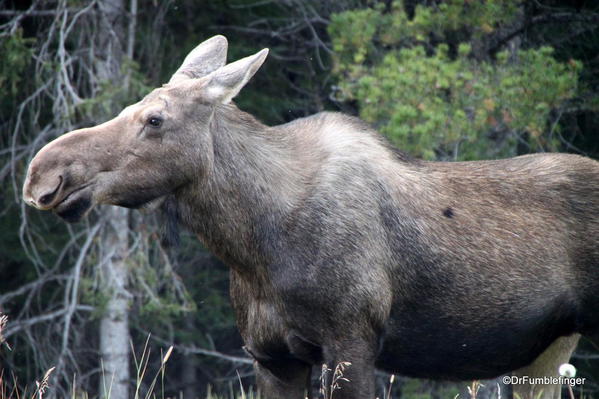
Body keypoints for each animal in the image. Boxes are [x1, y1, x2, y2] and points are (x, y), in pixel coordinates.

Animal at [23, 36, 599, 398]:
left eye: (155, 119)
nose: (43, 175)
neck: (256, 247)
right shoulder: (272, 356)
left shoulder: (353, 342)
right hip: (547, 350)